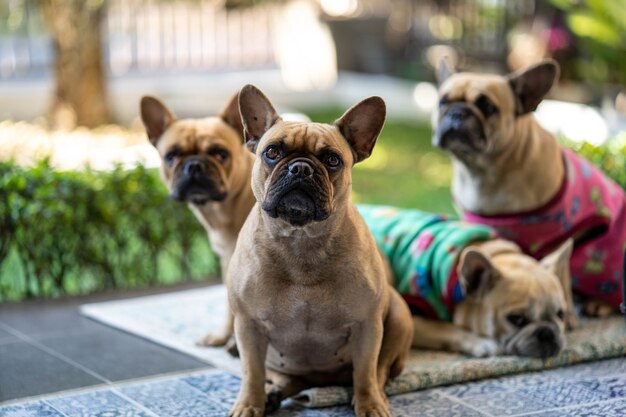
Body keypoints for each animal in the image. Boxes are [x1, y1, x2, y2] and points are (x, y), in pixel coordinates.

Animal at [227, 84, 412, 416]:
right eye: (271, 152)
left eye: (332, 159)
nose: (301, 168)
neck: (301, 240)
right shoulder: (247, 326)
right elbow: (252, 372)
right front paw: (249, 404)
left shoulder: (367, 325)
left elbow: (365, 371)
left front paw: (369, 404)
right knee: (282, 377)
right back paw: (273, 394)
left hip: (398, 316)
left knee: (379, 370)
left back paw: (375, 398)